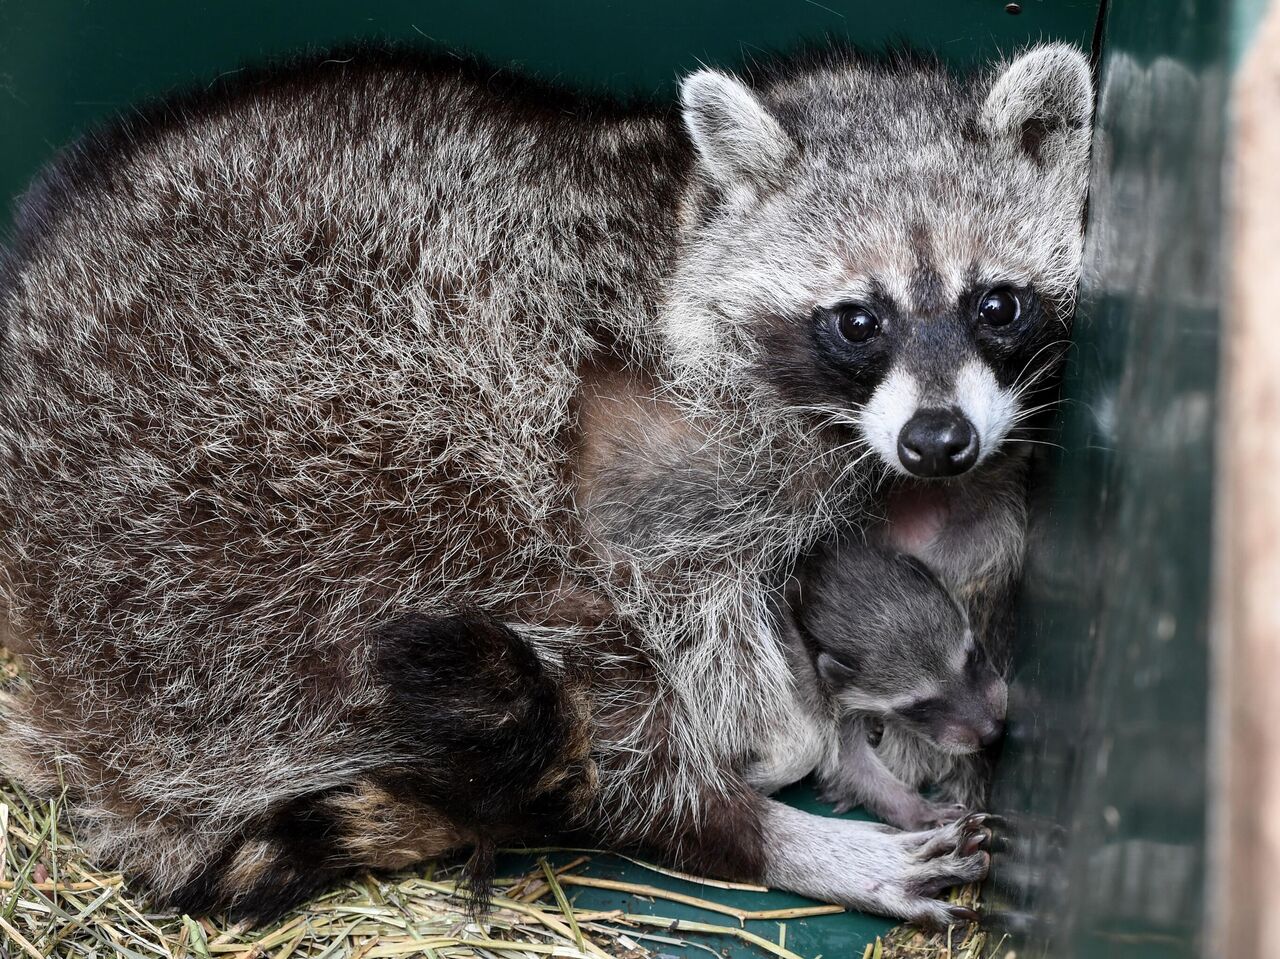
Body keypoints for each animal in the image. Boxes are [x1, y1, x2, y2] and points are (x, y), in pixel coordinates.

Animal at [773, 537, 1003, 829]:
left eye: (974, 657)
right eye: (919, 707)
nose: (992, 733)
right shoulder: (820, 688)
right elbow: (850, 763)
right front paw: (911, 807)